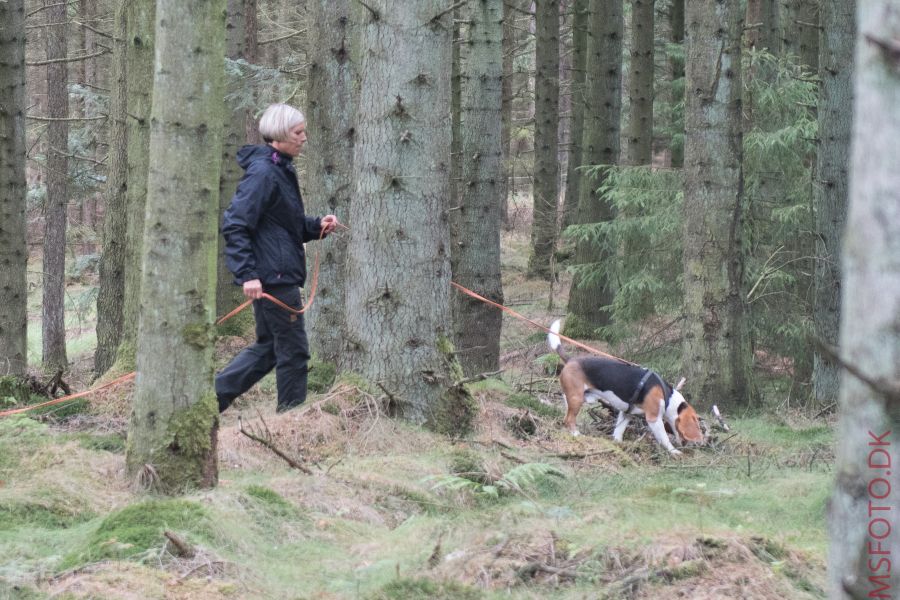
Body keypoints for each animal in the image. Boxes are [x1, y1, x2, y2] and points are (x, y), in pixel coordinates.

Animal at [548, 318, 704, 454]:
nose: (688, 445)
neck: (667, 397)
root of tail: (571, 360)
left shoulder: (627, 413)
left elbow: (619, 431)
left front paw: (618, 444)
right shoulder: (654, 419)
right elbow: (664, 438)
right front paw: (674, 451)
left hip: (578, 398)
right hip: (577, 398)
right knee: (569, 420)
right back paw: (577, 434)